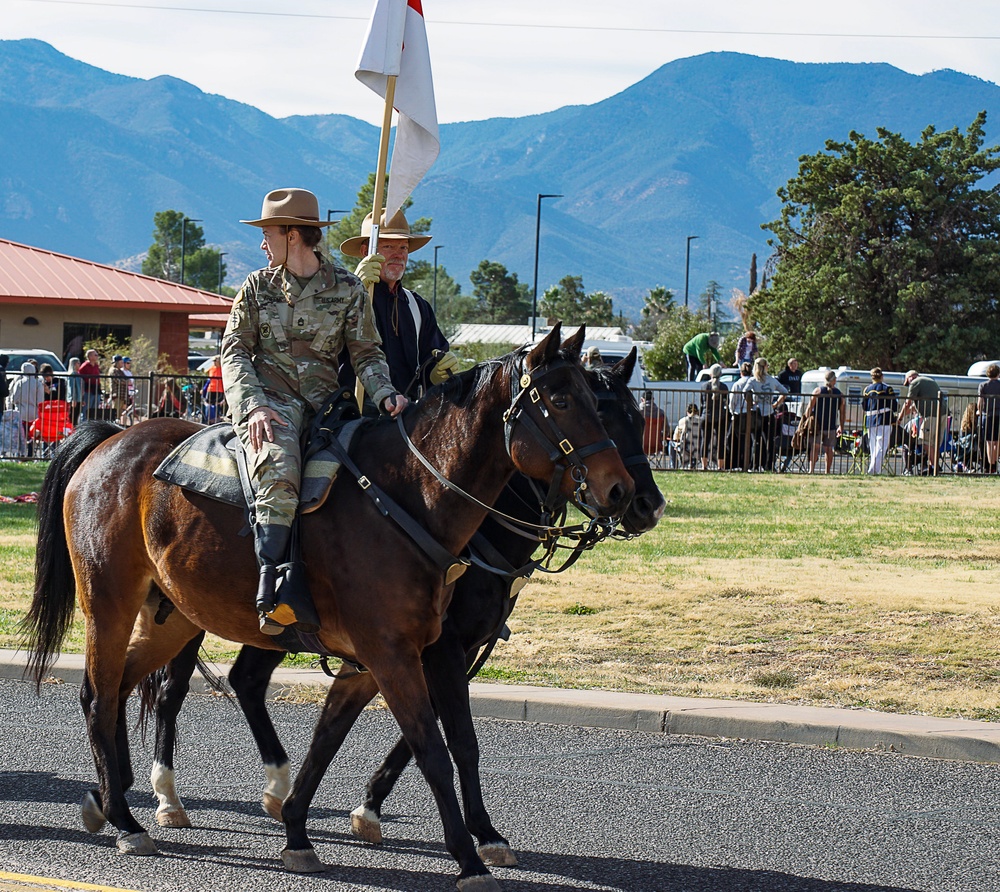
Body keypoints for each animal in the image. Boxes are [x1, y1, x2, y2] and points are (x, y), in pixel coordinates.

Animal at [23, 328, 636, 892]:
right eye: (561, 400)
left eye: (603, 401)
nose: (627, 494)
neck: (411, 498)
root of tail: (113, 439)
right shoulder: (396, 654)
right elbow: (433, 750)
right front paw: (467, 858)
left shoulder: (410, 653)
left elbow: (353, 739)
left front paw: (300, 829)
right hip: (110, 603)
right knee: (104, 694)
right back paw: (129, 819)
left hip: (171, 618)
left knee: (128, 687)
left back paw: (112, 798)